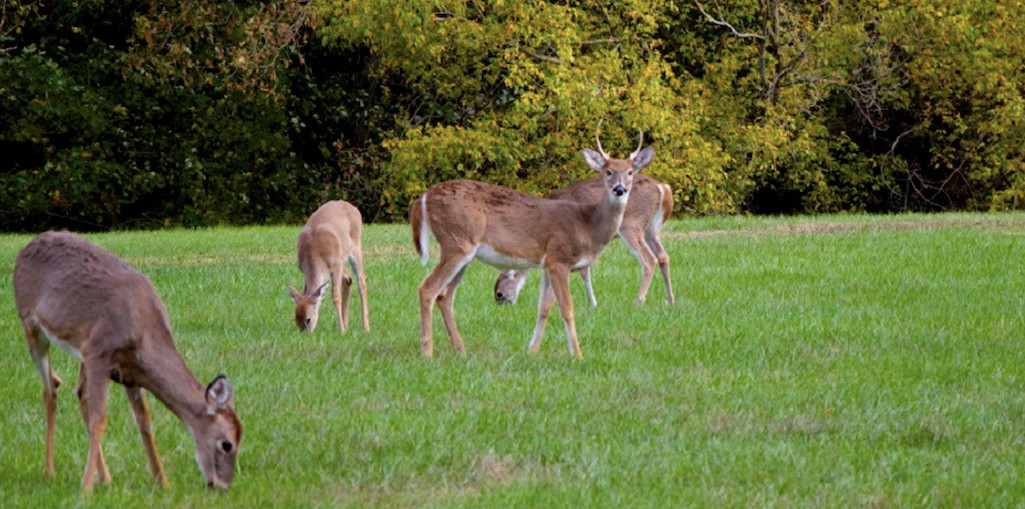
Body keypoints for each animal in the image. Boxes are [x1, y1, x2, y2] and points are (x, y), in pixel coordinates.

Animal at [12, 231, 242, 492]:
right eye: (227, 444)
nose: (222, 485)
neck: (144, 332)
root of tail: (27, 247)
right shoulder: (100, 353)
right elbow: (99, 420)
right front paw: (85, 488)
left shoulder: (129, 373)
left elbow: (145, 423)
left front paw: (162, 482)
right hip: (31, 325)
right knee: (50, 388)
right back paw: (50, 471)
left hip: (82, 352)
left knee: (75, 390)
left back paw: (105, 477)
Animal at [287, 200, 369, 333]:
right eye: (296, 318)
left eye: (308, 319)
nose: (304, 334)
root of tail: (353, 207)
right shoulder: (304, 270)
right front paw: (343, 328)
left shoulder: (336, 264)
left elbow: (335, 296)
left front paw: (341, 331)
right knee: (348, 278)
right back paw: (347, 324)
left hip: (355, 248)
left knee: (361, 280)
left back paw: (365, 327)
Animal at [409, 124, 654, 359]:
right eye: (608, 171)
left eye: (630, 171)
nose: (619, 189)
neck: (588, 225)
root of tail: (424, 197)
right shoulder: (559, 259)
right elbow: (567, 309)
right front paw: (577, 355)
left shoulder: (548, 264)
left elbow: (544, 309)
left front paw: (532, 352)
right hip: (456, 242)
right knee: (427, 289)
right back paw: (427, 352)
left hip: (463, 250)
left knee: (444, 296)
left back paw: (460, 350)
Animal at [493, 174, 674, 307]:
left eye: (499, 294)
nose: (501, 305)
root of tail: (662, 187)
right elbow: (584, 270)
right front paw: (592, 303)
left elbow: (582, 271)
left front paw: (590, 303)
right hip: (650, 228)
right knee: (663, 256)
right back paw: (670, 300)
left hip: (631, 223)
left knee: (648, 259)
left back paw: (638, 301)